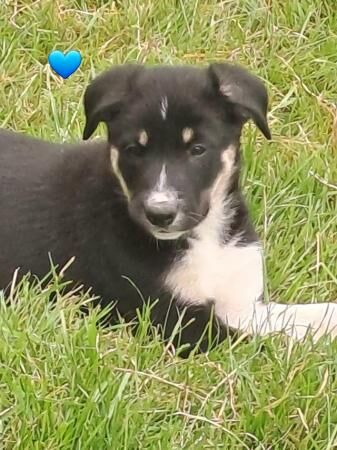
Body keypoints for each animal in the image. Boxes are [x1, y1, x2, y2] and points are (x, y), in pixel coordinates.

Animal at [0, 62, 336, 356]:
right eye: (134, 150)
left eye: (197, 149)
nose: (160, 215)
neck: (203, 239)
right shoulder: (175, 319)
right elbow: (262, 342)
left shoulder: (242, 302)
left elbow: (296, 319)